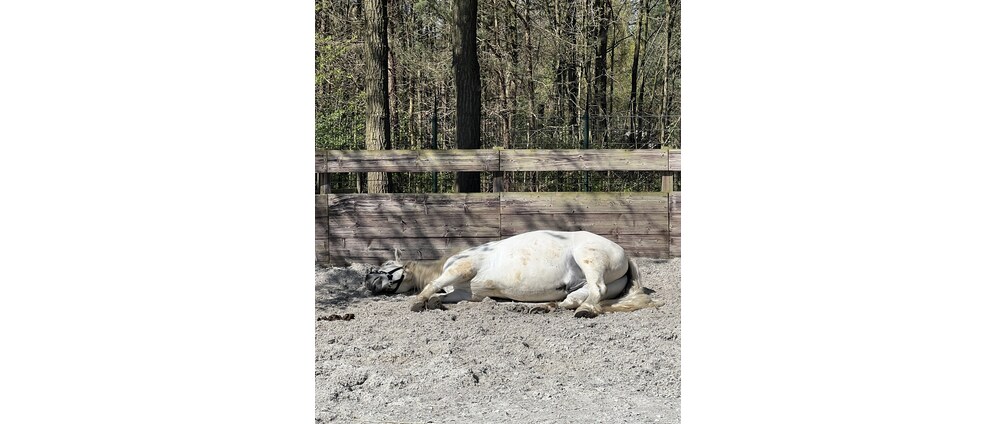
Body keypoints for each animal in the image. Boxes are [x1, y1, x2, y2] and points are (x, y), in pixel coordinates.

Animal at [364, 230, 662, 318]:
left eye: (386, 266)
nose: (367, 279)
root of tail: (624, 253)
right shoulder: (467, 294)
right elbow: (445, 295)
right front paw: (434, 302)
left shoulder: (462, 268)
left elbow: (434, 285)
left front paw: (419, 302)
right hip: (586, 285)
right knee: (575, 298)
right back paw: (542, 307)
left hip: (588, 259)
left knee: (596, 290)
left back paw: (585, 311)